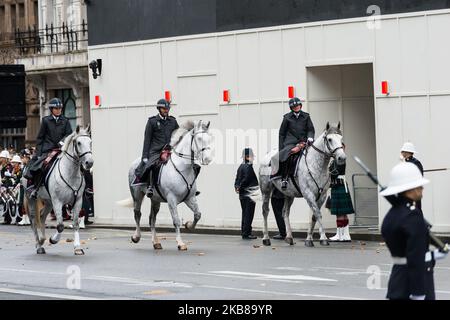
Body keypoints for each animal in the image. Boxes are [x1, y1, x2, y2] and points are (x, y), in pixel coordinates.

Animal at [25, 125, 93, 255]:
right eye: (78, 143)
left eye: (90, 142)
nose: (89, 162)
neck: (70, 173)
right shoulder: (58, 201)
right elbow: (60, 225)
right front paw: (53, 240)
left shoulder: (77, 201)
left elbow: (75, 223)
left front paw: (77, 247)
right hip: (31, 199)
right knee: (33, 220)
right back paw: (39, 245)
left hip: (48, 202)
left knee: (42, 216)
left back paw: (42, 239)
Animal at [121, 119, 213, 250]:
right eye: (199, 138)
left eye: (210, 138)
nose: (208, 159)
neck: (182, 167)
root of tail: (135, 162)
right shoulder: (171, 199)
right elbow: (176, 220)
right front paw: (180, 243)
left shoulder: (190, 198)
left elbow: (198, 215)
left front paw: (189, 225)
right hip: (137, 195)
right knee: (137, 214)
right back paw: (136, 237)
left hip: (155, 199)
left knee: (152, 218)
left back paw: (156, 242)